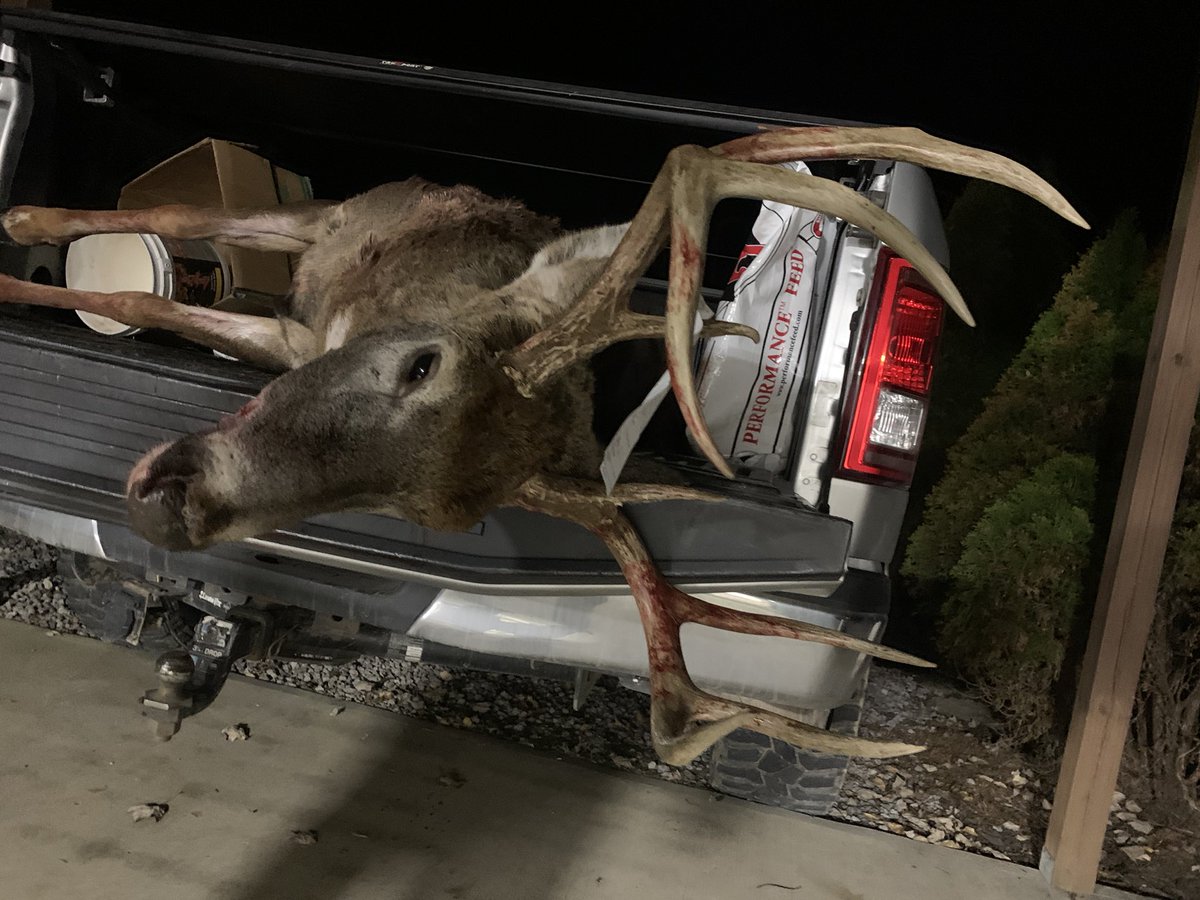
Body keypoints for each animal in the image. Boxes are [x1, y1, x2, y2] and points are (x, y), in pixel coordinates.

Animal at [0, 127, 1088, 765]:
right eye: (421, 363)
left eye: (427, 512)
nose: (171, 501)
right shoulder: (317, 281)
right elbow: (143, 284)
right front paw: (27, 257)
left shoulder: (289, 334)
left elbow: (144, 300)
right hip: (339, 204)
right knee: (184, 210)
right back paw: (29, 216)